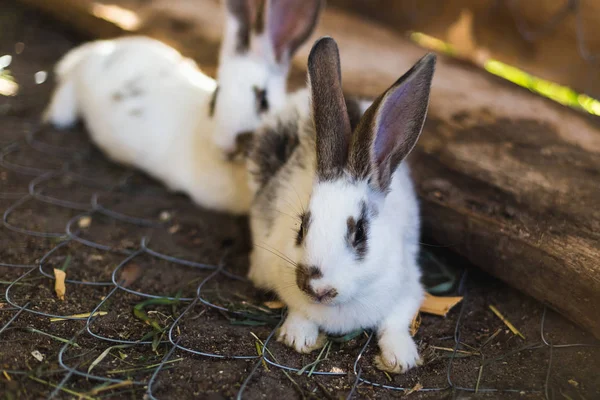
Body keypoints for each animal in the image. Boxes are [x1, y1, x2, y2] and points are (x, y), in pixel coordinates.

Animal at [245, 36, 436, 374]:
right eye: (301, 226)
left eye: (360, 233)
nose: (317, 288)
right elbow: (296, 308)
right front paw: (299, 337)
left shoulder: (409, 288)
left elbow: (395, 323)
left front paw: (401, 358)